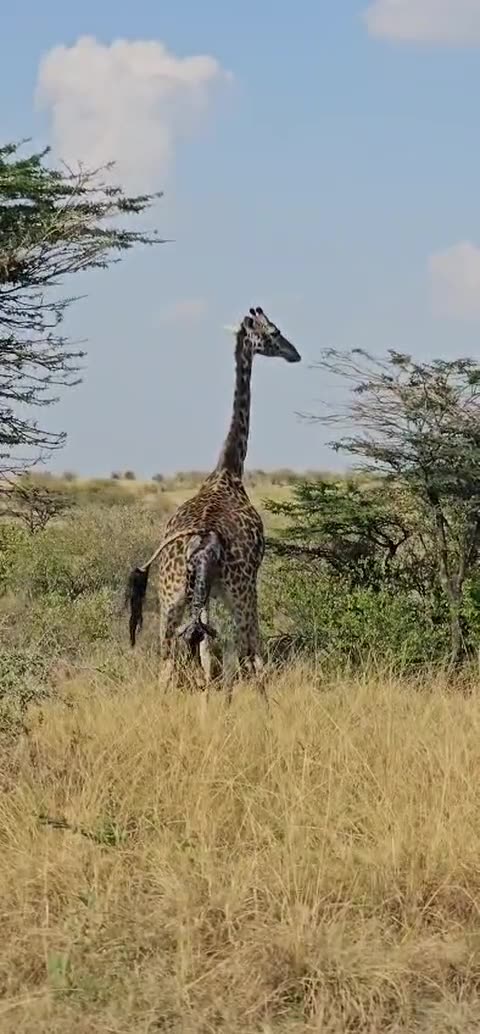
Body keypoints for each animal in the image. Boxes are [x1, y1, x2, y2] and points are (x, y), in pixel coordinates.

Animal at [127, 306, 301, 696]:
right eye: (275, 332)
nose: (294, 353)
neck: (228, 471)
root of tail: (200, 541)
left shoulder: (202, 594)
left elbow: (208, 655)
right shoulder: (246, 585)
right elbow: (247, 654)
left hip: (172, 595)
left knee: (171, 661)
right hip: (238, 590)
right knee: (243, 650)